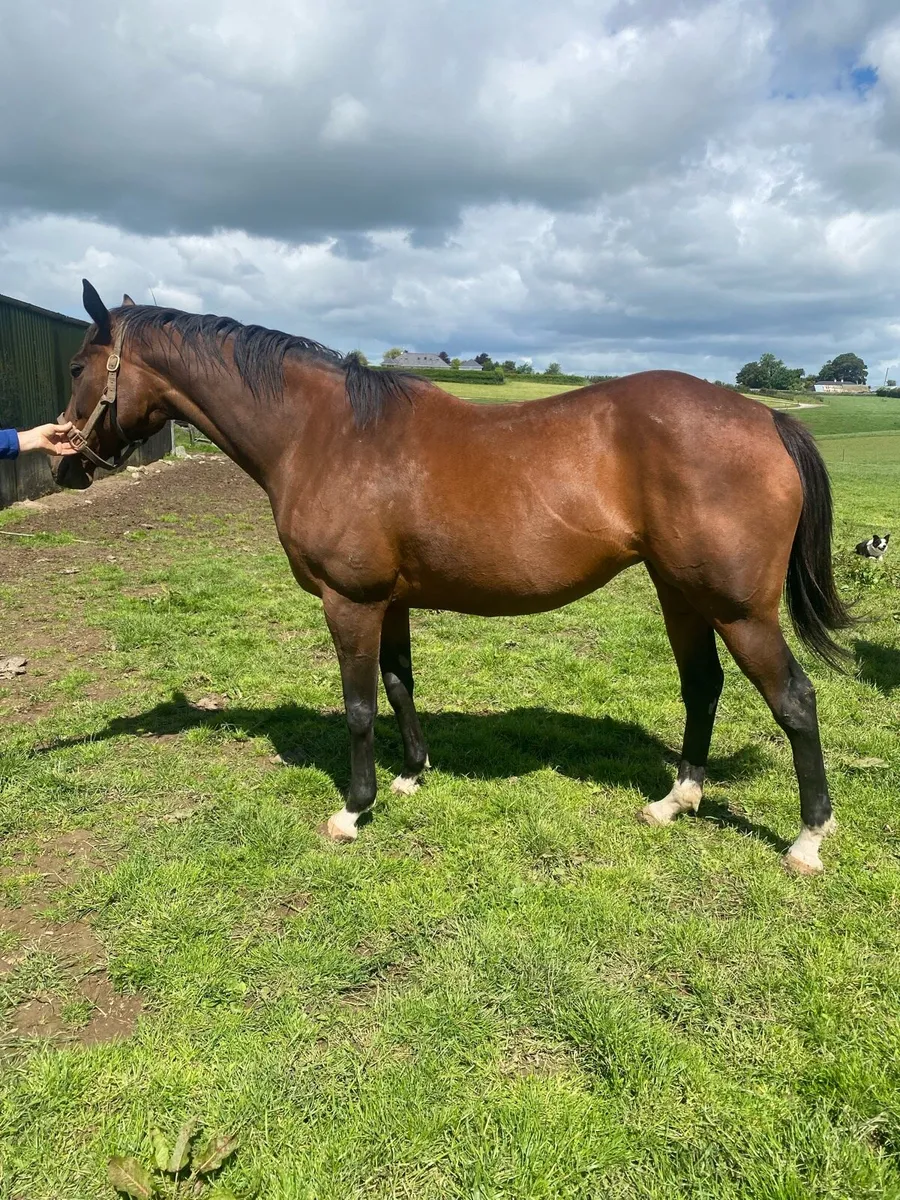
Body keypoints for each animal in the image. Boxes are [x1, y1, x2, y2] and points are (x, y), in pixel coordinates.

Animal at [53, 280, 853, 875]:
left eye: (77, 368)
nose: (64, 467)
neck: (325, 434)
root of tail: (767, 418)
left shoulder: (350, 603)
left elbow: (359, 706)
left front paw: (354, 809)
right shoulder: (392, 602)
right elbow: (400, 683)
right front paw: (411, 776)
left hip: (738, 608)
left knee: (795, 701)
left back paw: (807, 840)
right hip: (680, 593)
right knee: (702, 687)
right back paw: (674, 802)